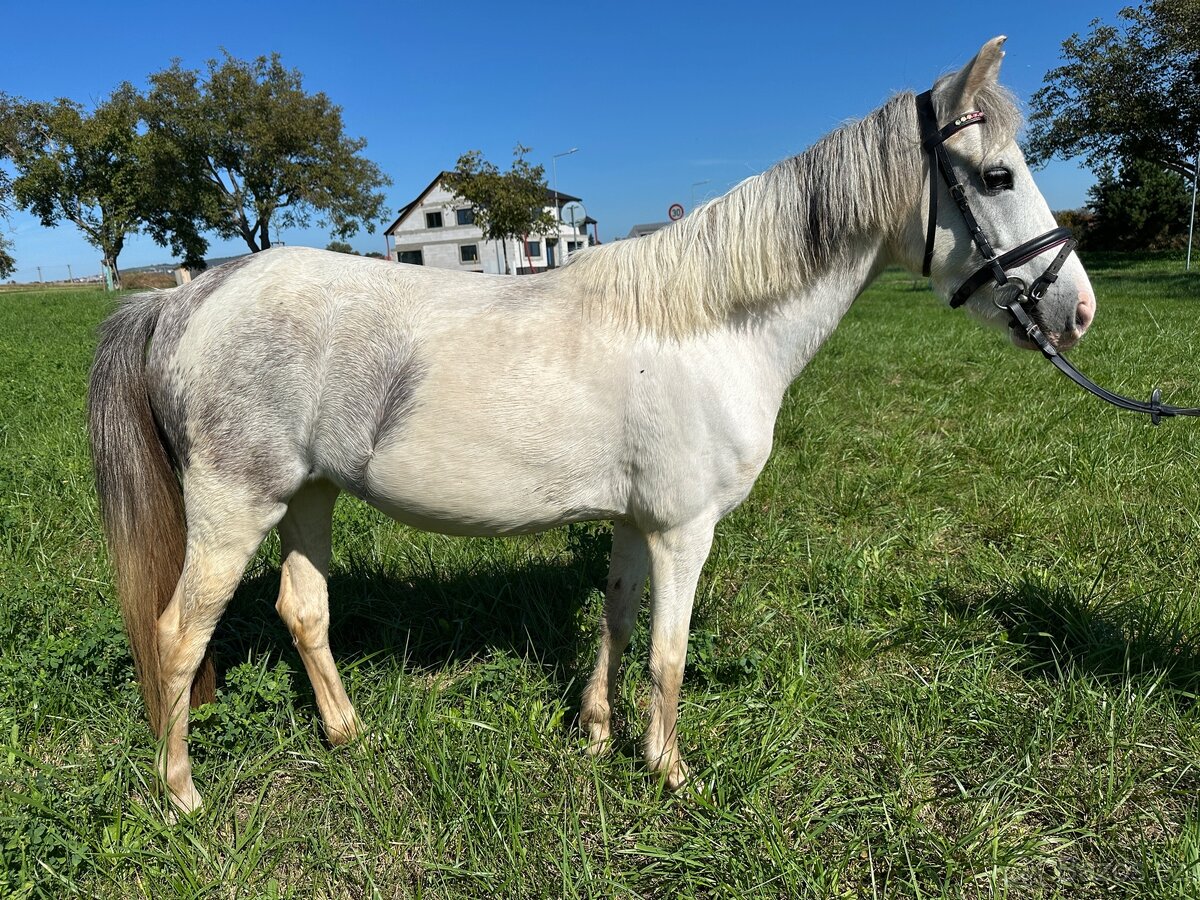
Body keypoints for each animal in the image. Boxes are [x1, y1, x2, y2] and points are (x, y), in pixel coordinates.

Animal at [89, 36, 1096, 814]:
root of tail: (187, 298)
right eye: (997, 174)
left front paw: (597, 732)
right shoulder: (686, 530)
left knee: (303, 609)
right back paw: (183, 795)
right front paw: (671, 773)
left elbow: (615, 620)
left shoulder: (631, 522)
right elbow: (669, 655)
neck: (707, 326)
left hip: (310, 495)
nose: (1076, 309)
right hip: (235, 506)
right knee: (177, 633)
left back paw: (348, 736)